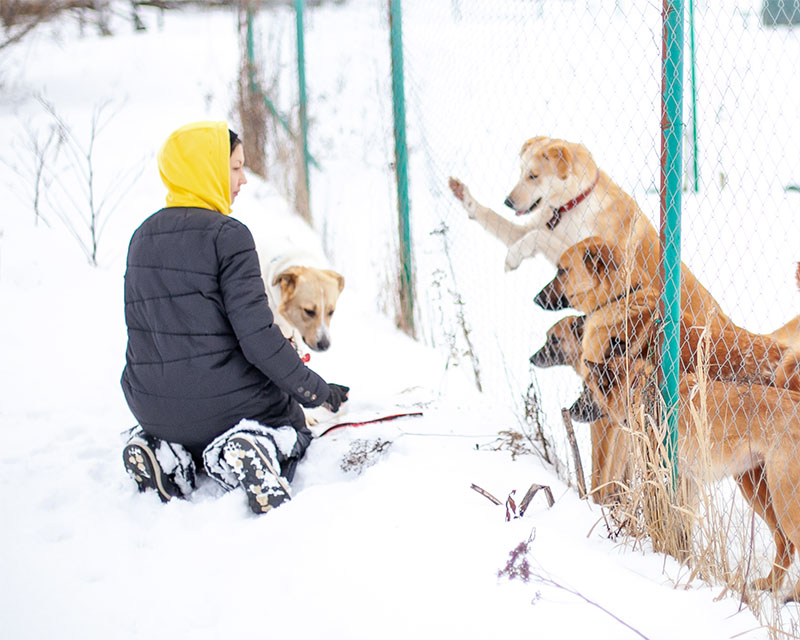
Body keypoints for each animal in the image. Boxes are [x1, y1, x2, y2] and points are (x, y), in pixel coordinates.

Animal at [576, 358, 800, 604]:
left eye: (586, 388)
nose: (571, 410)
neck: (640, 386)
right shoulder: (687, 482)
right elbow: (684, 530)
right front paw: (684, 563)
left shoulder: (657, 478)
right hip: (756, 488)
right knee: (785, 544)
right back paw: (769, 585)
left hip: (783, 499)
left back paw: (793, 595)